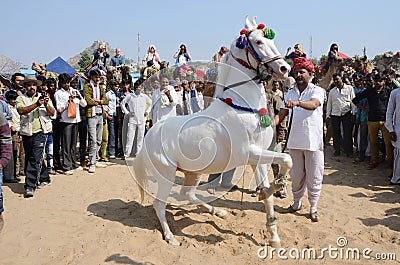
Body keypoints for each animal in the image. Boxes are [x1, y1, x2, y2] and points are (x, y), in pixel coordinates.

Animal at [133, 16, 292, 246]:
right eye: (258, 42)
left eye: (271, 39)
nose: (285, 69)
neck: (243, 108)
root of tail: (149, 136)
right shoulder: (248, 153)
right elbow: (287, 158)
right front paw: (277, 184)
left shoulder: (258, 157)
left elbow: (270, 189)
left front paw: (273, 235)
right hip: (166, 174)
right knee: (159, 204)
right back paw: (171, 237)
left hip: (193, 172)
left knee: (187, 194)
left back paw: (218, 212)